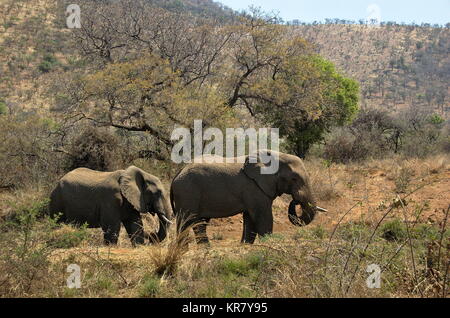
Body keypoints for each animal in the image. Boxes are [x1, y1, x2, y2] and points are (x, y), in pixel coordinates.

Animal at [170, 150, 326, 245]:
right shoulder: (255, 189)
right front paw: (268, 244)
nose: (296, 200)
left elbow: (249, 220)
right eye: (294, 178)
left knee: (198, 224)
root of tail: (177, 175)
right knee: (187, 222)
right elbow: (263, 217)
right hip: (188, 193)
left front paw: (245, 245)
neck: (275, 156)